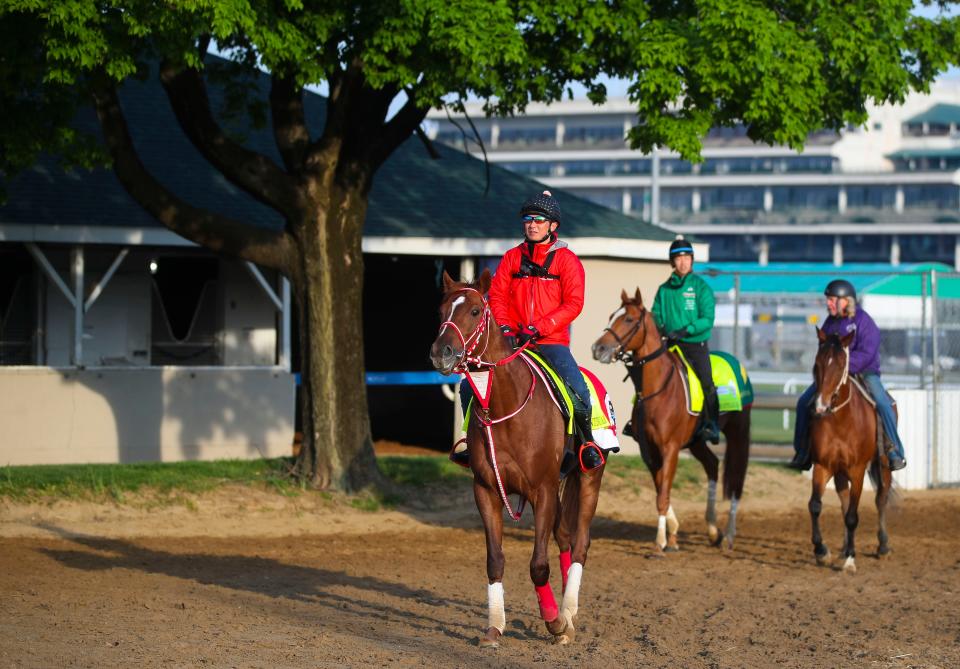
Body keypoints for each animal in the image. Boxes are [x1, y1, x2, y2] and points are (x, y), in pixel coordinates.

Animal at [430, 268, 608, 644]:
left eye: (475, 311)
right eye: (441, 311)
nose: (442, 353)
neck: (506, 406)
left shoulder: (542, 491)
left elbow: (538, 566)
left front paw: (554, 621)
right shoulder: (486, 490)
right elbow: (495, 561)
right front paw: (494, 626)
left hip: (588, 477)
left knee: (580, 544)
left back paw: (567, 613)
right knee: (565, 539)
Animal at [588, 290, 752, 552]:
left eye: (629, 319)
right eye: (612, 315)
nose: (598, 348)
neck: (658, 390)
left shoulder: (670, 448)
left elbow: (663, 492)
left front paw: (660, 541)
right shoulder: (649, 450)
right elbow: (659, 489)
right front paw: (672, 533)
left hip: (739, 433)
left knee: (736, 478)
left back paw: (729, 535)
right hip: (696, 442)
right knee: (712, 465)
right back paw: (713, 530)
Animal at [808, 326, 896, 572]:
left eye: (840, 366)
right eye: (816, 364)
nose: (820, 406)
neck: (840, 419)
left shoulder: (857, 470)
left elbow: (853, 516)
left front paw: (850, 559)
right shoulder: (822, 466)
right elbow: (815, 505)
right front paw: (821, 551)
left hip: (882, 465)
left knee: (880, 499)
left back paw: (882, 546)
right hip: (839, 472)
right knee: (844, 501)